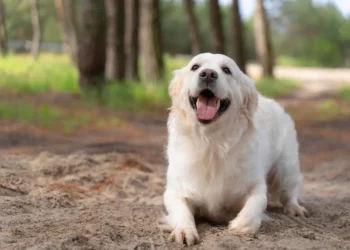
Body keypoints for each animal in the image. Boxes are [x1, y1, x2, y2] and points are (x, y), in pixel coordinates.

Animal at [161, 53, 306, 246]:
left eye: (226, 70)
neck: (212, 143)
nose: (208, 74)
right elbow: (180, 210)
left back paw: (295, 208)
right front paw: (184, 231)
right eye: (195, 67)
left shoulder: (254, 182)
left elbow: (258, 201)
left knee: (290, 190)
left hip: (286, 167)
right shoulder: (176, 190)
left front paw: (242, 224)